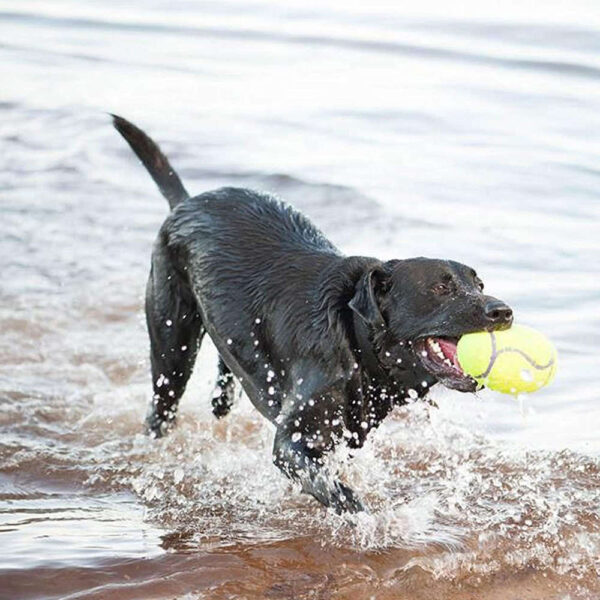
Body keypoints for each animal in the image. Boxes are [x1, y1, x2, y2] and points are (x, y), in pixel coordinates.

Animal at [115, 115, 512, 512]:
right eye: (441, 287)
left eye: (478, 284)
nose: (504, 311)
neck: (355, 341)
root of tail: (184, 203)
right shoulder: (292, 442)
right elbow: (337, 492)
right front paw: (366, 517)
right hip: (172, 346)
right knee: (161, 406)